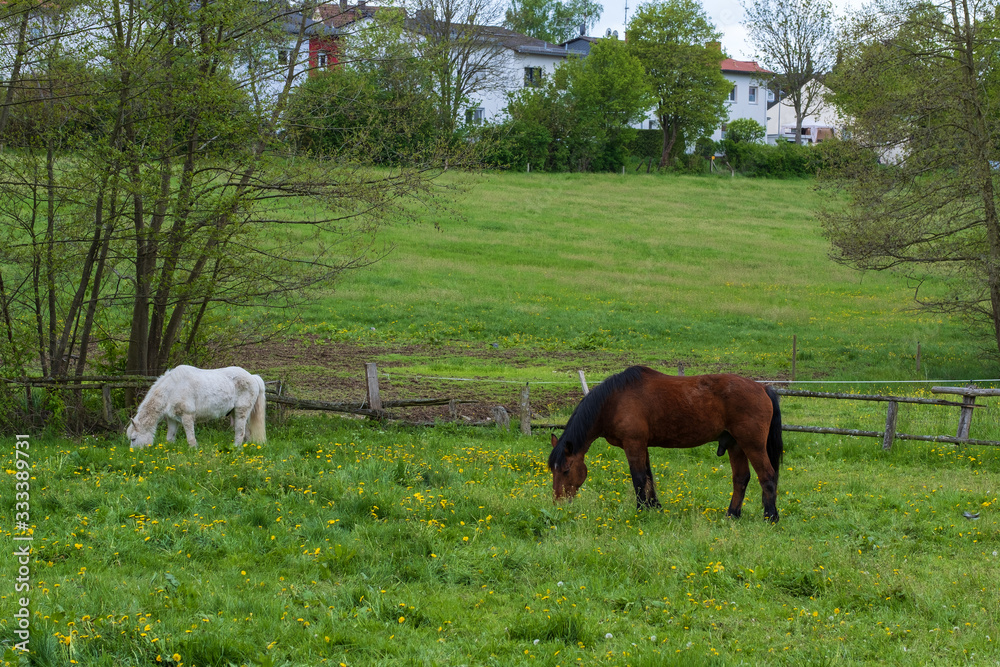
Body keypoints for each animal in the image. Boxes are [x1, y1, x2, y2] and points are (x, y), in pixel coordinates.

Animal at [126, 365, 267, 449]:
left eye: (133, 439)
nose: (134, 454)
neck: (172, 389)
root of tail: (252, 377)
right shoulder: (172, 419)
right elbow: (170, 437)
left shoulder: (187, 416)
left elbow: (190, 438)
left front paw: (193, 450)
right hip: (236, 413)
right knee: (246, 432)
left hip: (241, 411)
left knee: (240, 431)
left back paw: (236, 448)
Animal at [548, 365, 784, 522]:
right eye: (553, 470)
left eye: (566, 470)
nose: (558, 504)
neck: (614, 401)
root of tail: (763, 389)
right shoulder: (642, 446)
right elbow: (649, 477)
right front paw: (654, 507)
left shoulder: (633, 444)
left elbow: (638, 478)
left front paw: (641, 510)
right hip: (735, 445)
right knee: (741, 479)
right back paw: (732, 514)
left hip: (752, 445)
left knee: (767, 476)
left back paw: (770, 516)